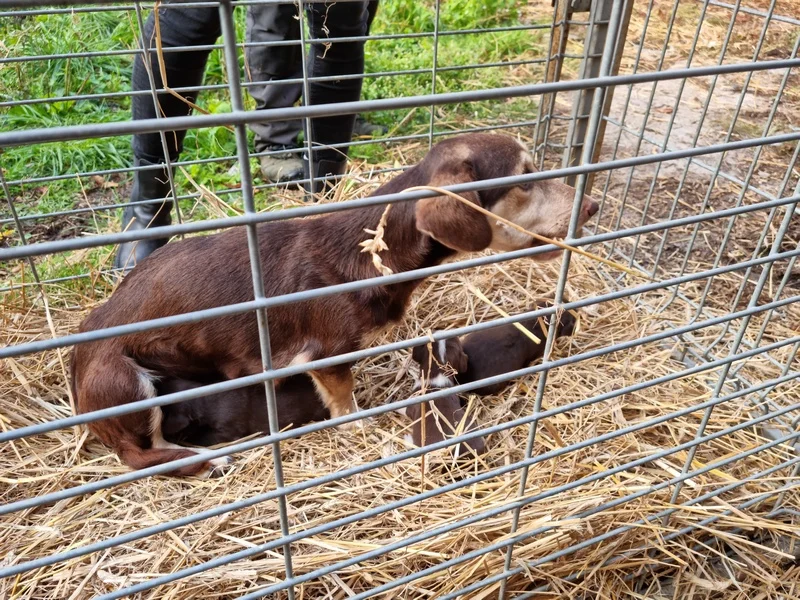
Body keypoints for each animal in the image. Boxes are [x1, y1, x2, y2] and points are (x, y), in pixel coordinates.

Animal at [72, 134, 596, 476]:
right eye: (524, 179)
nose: (591, 206)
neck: (375, 249)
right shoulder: (326, 355)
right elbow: (345, 402)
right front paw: (358, 426)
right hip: (127, 383)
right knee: (142, 456)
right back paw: (208, 458)